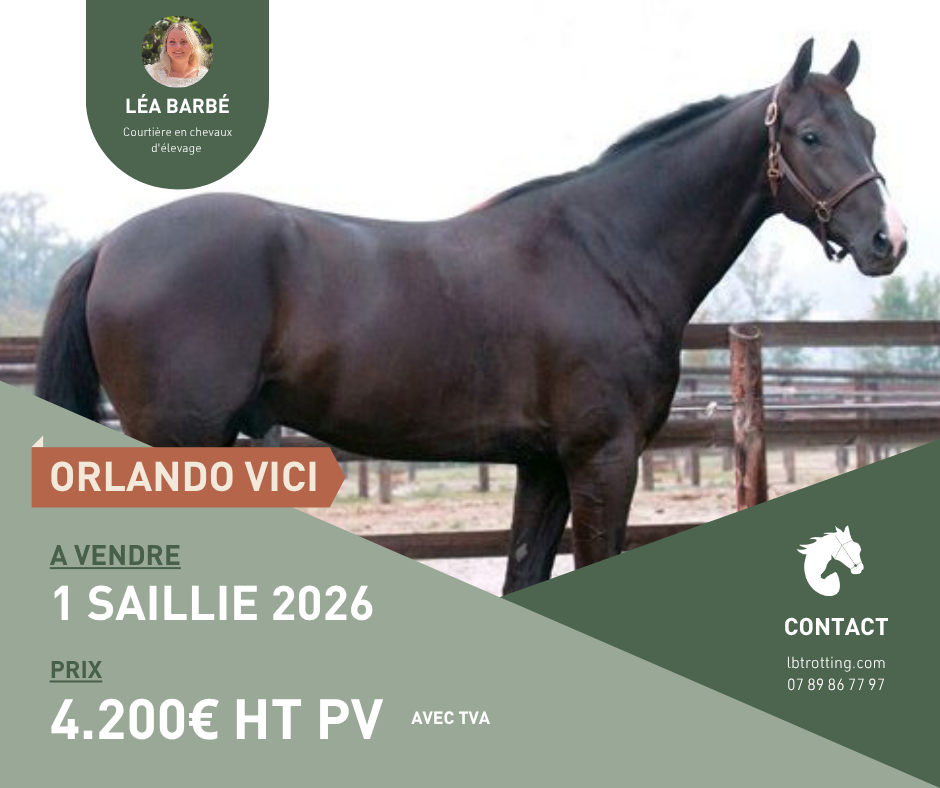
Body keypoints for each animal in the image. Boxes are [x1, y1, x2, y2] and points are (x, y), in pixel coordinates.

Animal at [36, 40, 906, 594]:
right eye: (810, 134)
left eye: (867, 130)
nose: (887, 241)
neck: (606, 248)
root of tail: (109, 246)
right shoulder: (604, 457)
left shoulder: (544, 464)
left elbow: (526, 577)